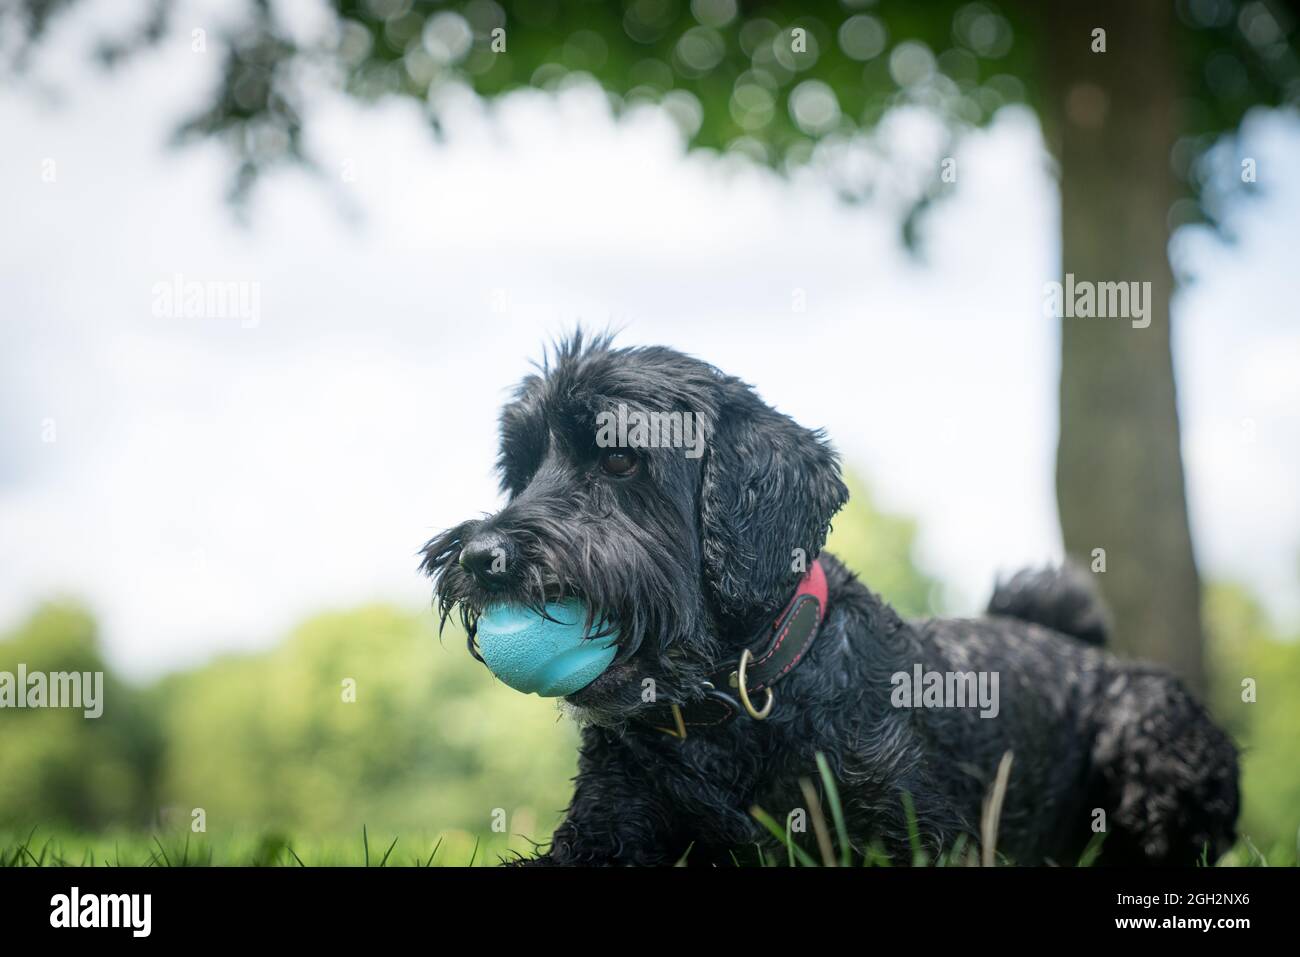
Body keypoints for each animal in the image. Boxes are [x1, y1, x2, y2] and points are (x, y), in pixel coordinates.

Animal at [426, 335, 1237, 868]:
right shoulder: (601, 832)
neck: (739, 703)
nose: (479, 558)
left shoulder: (915, 833)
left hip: (1153, 733)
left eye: (621, 458)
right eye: (521, 468)